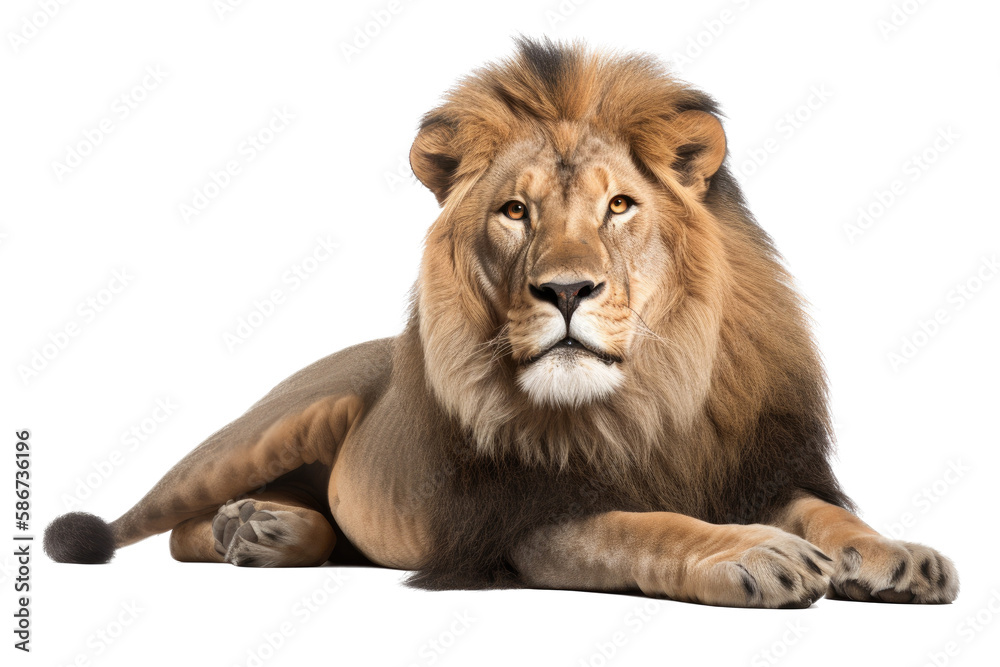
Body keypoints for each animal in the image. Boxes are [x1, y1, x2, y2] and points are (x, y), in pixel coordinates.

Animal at [44, 37, 958, 608]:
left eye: (619, 205)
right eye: (515, 211)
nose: (566, 290)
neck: (652, 395)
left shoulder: (759, 466)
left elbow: (829, 514)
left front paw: (895, 554)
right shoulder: (526, 521)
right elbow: (650, 524)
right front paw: (748, 551)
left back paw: (268, 527)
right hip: (265, 428)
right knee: (155, 526)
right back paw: (233, 524)